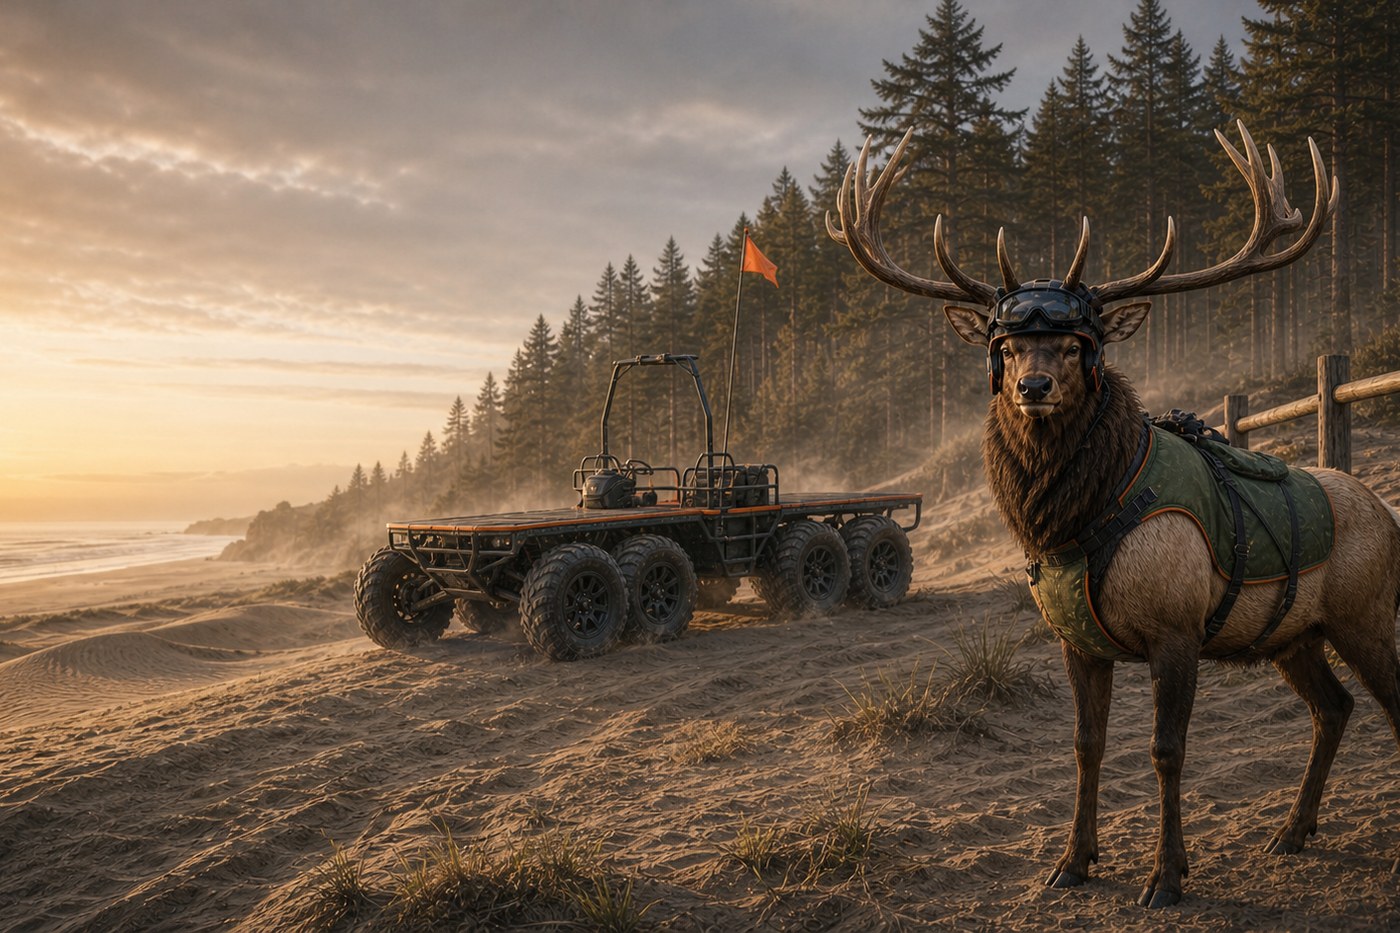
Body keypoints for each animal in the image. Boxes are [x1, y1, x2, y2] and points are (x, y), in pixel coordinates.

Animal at [828, 121, 1400, 908]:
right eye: (1007, 346)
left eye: (1077, 342)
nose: (1033, 386)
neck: (1072, 522)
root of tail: (1388, 511)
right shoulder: (1079, 641)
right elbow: (1085, 745)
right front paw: (1072, 861)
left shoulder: (1176, 627)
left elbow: (1166, 751)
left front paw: (1167, 876)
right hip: (1295, 634)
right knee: (1334, 707)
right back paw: (1292, 829)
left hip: (1364, 614)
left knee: (1389, 705)